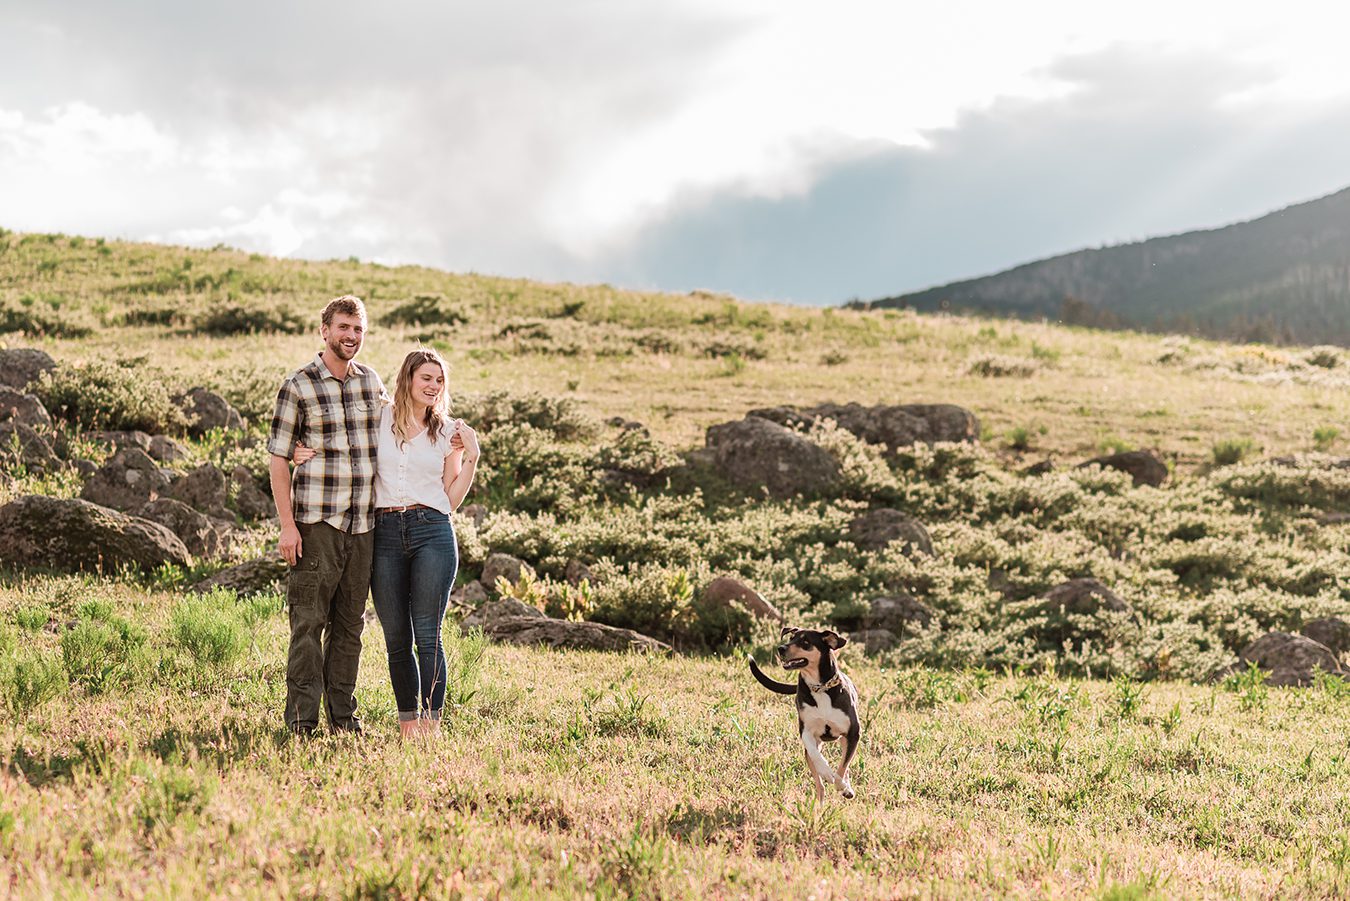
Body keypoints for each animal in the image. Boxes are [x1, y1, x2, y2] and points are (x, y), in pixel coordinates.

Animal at [745, 632, 858, 799]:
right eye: (791, 638)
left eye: (805, 642)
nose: (781, 648)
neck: (820, 688)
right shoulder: (806, 731)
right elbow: (815, 755)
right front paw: (826, 772)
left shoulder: (853, 734)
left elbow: (843, 767)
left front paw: (842, 786)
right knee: (820, 786)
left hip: (845, 740)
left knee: (845, 764)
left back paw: (846, 788)